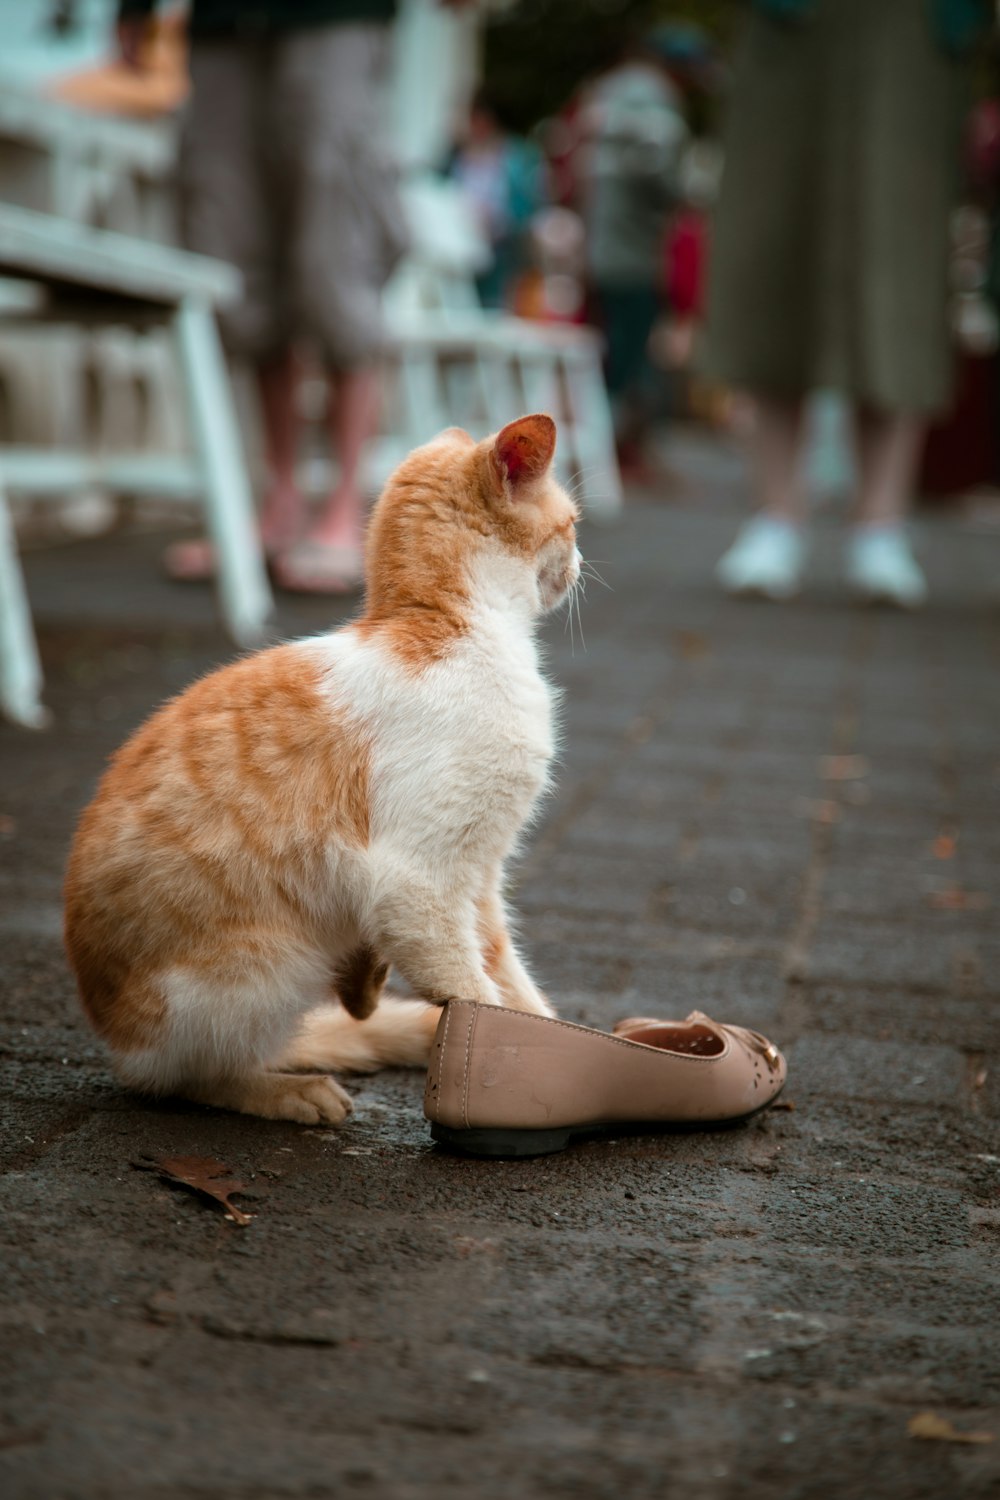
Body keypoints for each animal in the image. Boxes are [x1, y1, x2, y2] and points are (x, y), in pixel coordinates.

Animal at [64, 417, 578, 1122]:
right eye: (573, 525)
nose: (580, 565)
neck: (447, 628)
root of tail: (116, 1040)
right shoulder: (418, 881)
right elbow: (475, 996)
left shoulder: (479, 876)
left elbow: (509, 979)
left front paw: (554, 1039)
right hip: (268, 961)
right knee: (194, 1077)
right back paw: (289, 1090)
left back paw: (365, 991)